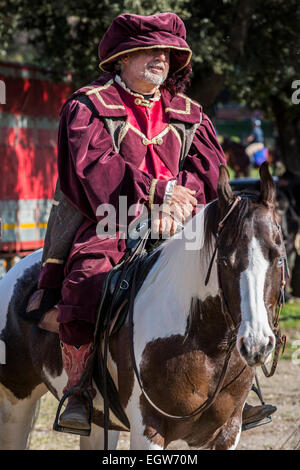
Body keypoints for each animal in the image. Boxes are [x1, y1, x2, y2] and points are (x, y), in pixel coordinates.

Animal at [0, 163, 286, 450]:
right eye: (225, 261)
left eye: (279, 257)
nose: (257, 344)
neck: (203, 344)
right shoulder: (148, 429)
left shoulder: (227, 432)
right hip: (14, 408)